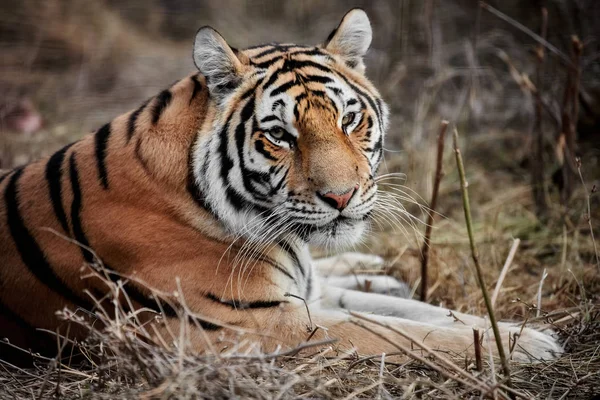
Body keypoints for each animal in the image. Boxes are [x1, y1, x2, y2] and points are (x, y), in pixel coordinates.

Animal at [0, 10, 564, 366]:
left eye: (349, 119)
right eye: (279, 136)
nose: (341, 197)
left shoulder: (289, 300)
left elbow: (424, 312)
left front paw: (521, 333)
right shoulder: (255, 324)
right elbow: (395, 330)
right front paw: (528, 348)